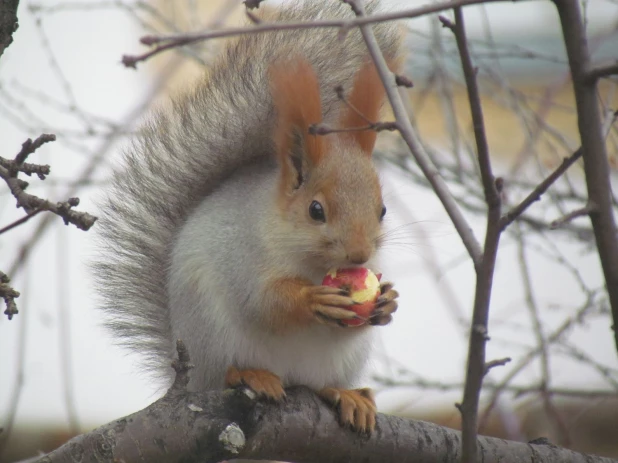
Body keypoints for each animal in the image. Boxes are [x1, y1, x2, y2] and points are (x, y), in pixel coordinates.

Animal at [92, 0, 400, 436]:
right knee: (227, 370)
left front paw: (387, 301)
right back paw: (248, 375)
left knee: (322, 384)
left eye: (382, 210)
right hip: (212, 336)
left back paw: (347, 395)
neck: (310, 262)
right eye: (316, 210)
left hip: (341, 361)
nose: (359, 256)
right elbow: (262, 302)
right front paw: (311, 298)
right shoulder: (243, 256)